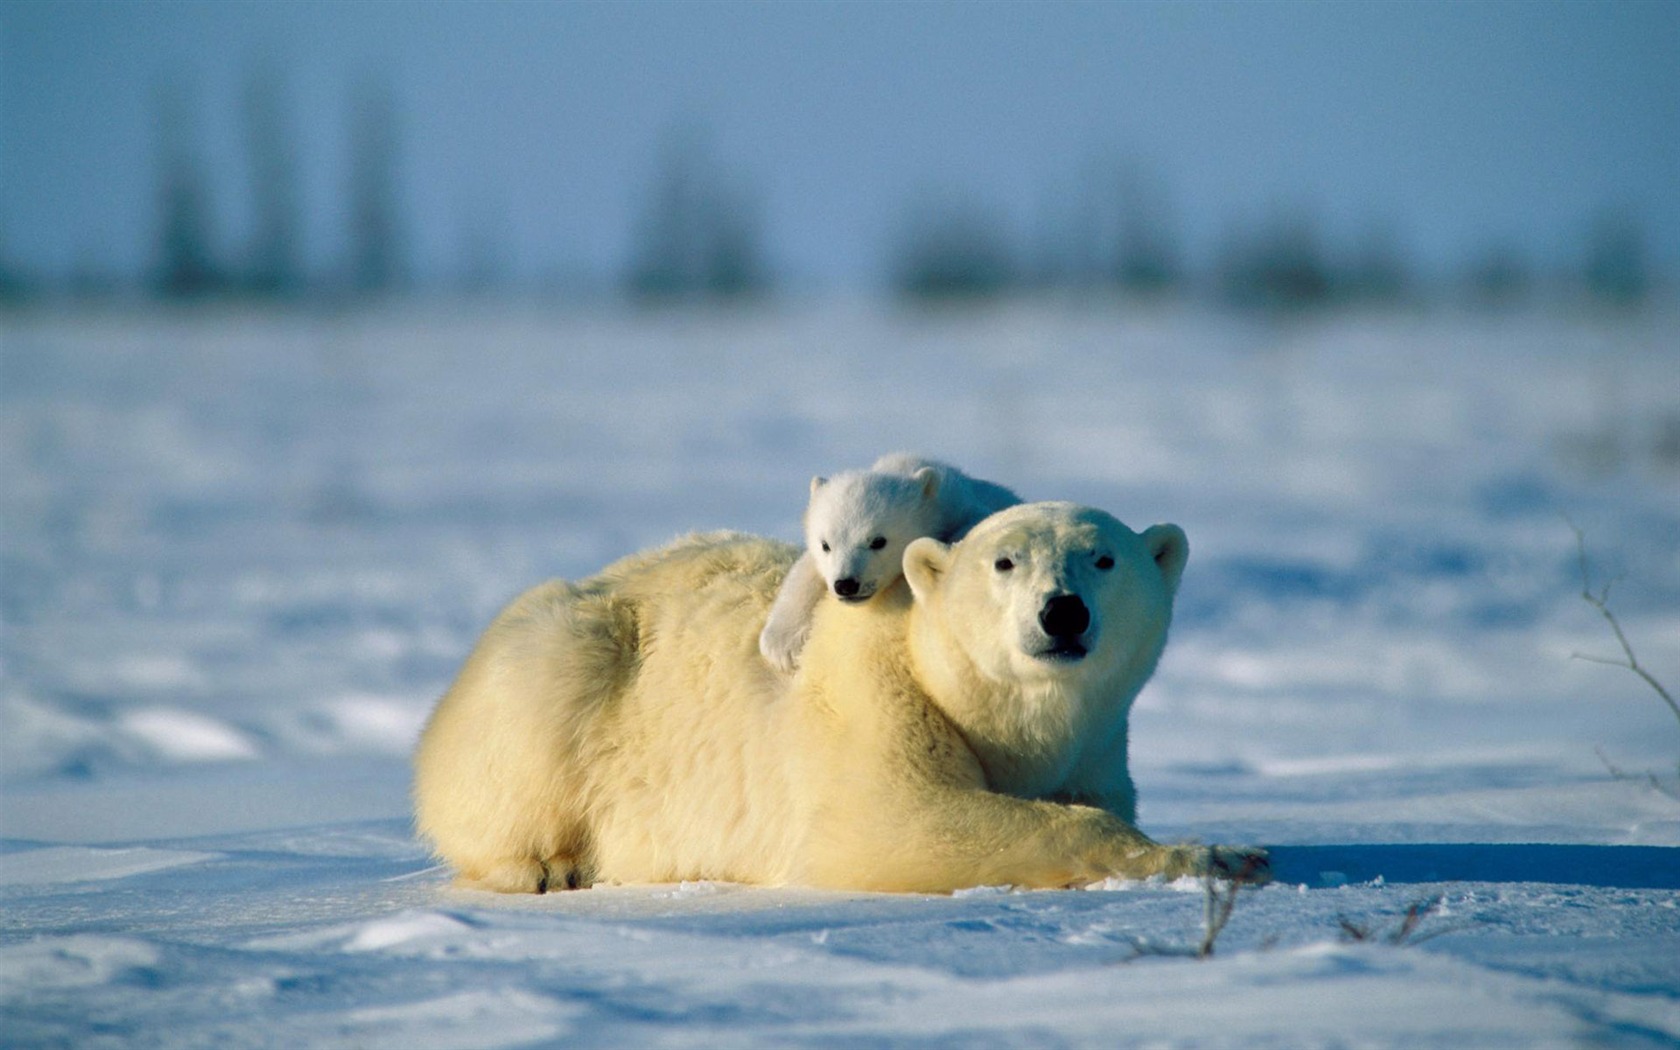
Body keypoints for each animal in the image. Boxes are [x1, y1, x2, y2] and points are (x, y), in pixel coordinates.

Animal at [413, 500, 1263, 893]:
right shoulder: (873, 699)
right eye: (1006, 562)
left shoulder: (1096, 745)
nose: (1063, 612)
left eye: (1105, 557)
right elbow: (900, 820)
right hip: (565, 656)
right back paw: (547, 865)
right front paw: (1222, 853)